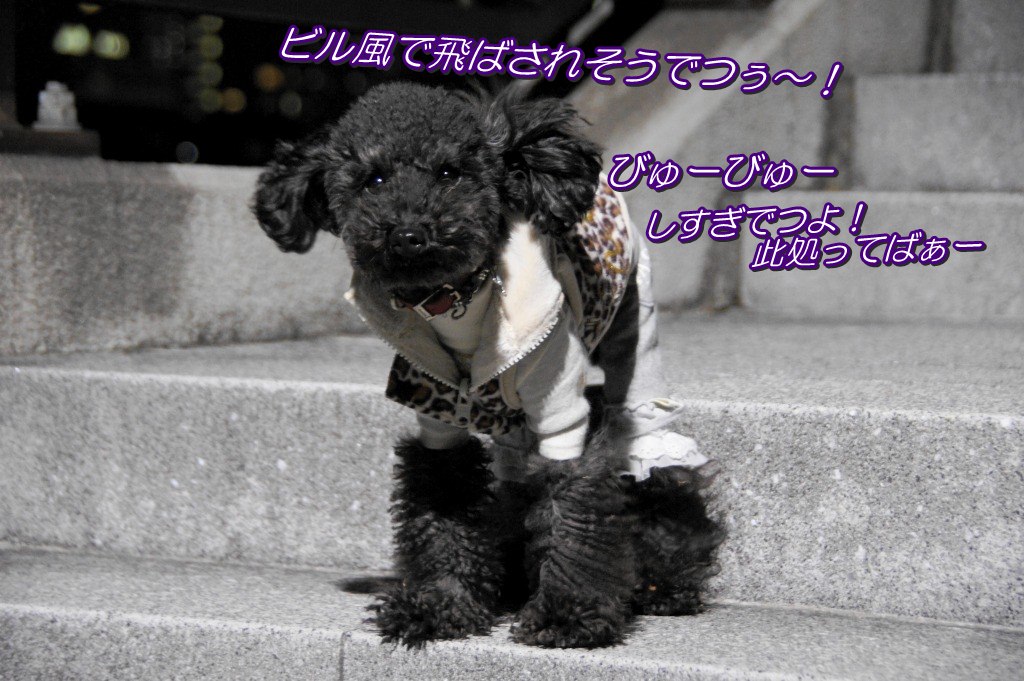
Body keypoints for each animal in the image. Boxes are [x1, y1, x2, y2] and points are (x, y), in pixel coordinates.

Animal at [253, 81, 723, 648]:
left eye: (450, 172)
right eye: (374, 179)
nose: (409, 234)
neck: (456, 302)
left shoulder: (561, 414)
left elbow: (571, 508)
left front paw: (569, 614)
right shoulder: (436, 418)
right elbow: (446, 505)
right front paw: (441, 604)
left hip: (637, 333)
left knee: (659, 463)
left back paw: (661, 583)